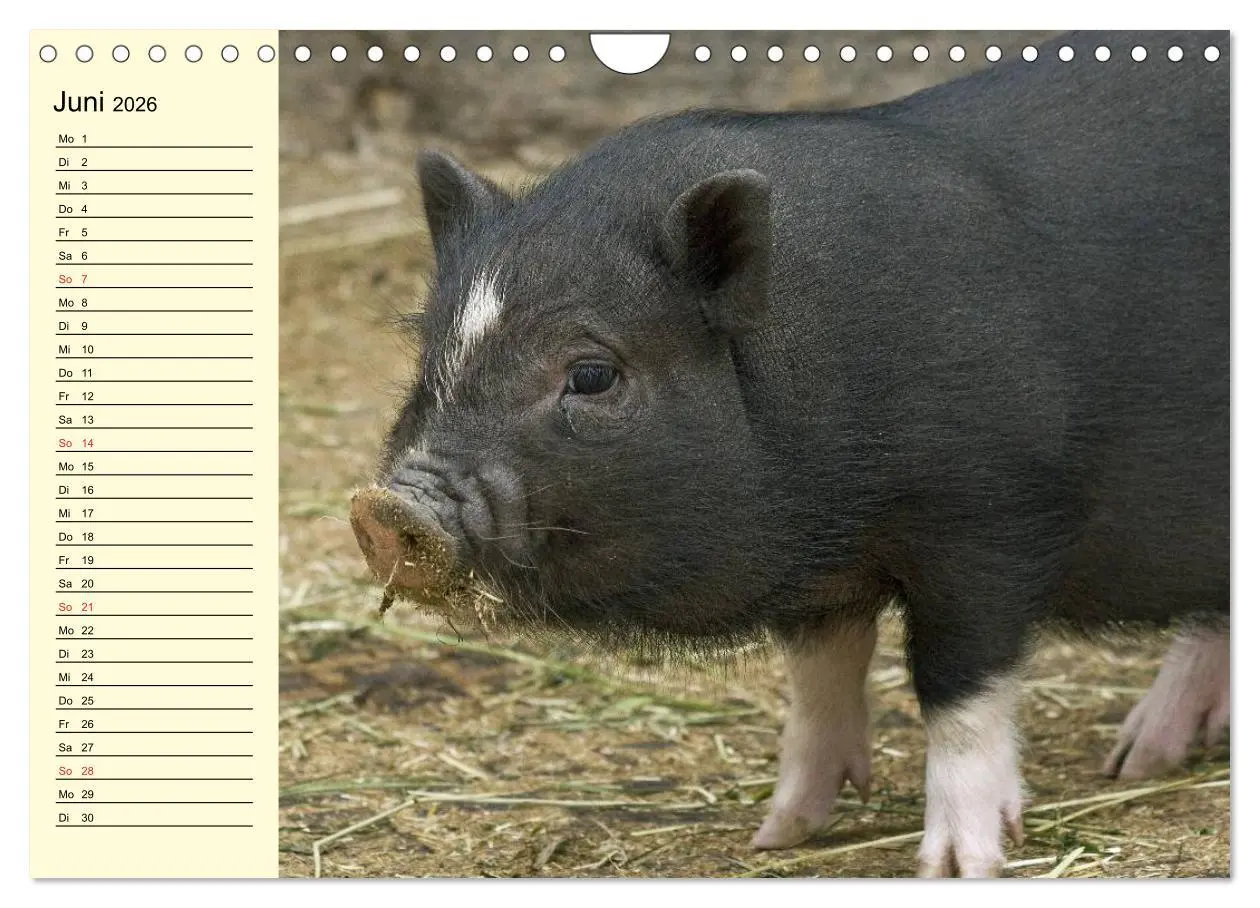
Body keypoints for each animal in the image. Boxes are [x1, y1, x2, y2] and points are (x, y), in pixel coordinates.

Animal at [374, 30, 1229, 877]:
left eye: (590, 373)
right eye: (430, 351)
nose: (387, 505)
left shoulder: (994, 519)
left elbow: (957, 689)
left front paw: (958, 866)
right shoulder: (823, 573)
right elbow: (819, 675)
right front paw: (780, 833)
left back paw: (1130, 762)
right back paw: (1143, 759)